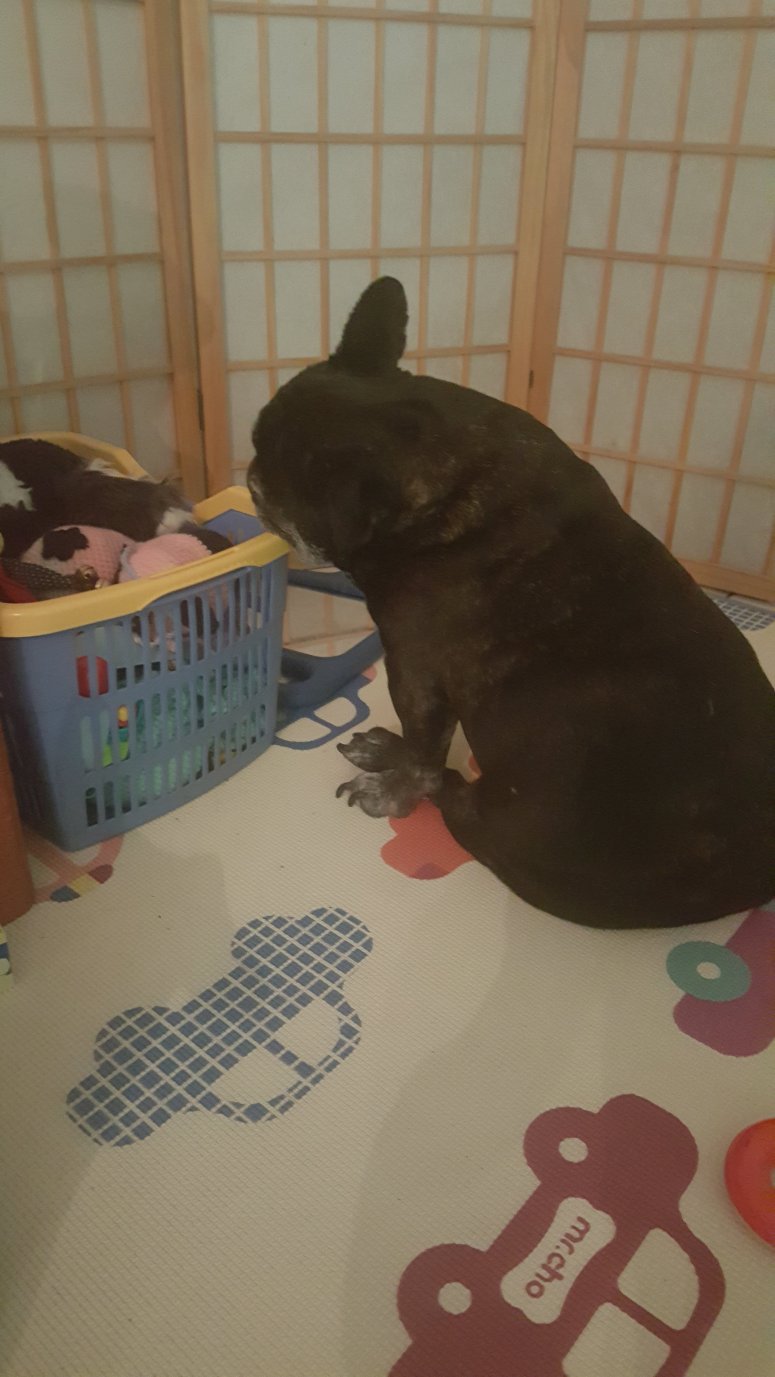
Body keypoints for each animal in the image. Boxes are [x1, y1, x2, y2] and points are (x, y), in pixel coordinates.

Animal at [248, 278, 775, 929]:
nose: (248, 475)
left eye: (281, 484)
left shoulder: (415, 667)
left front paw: (394, 789)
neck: (444, 468)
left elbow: (425, 748)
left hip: (506, 818)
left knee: (451, 784)